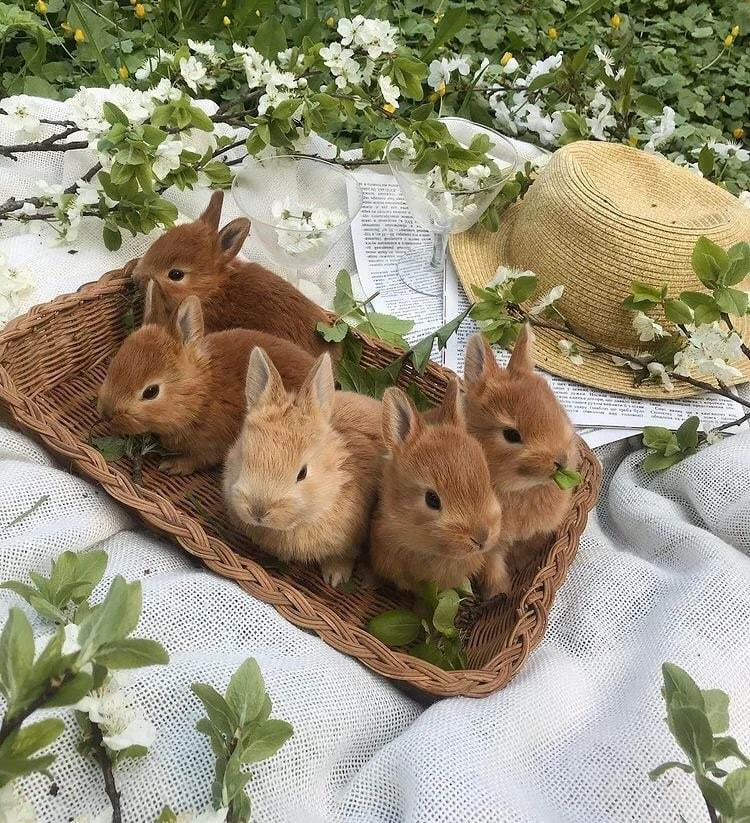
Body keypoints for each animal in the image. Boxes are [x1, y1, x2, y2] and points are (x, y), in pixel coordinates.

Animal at [97, 280, 314, 475]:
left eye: (151, 392)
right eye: (116, 361)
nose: (106, 413)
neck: (202, 396)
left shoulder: (212, 445)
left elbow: (198, 460)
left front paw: (172, 466)